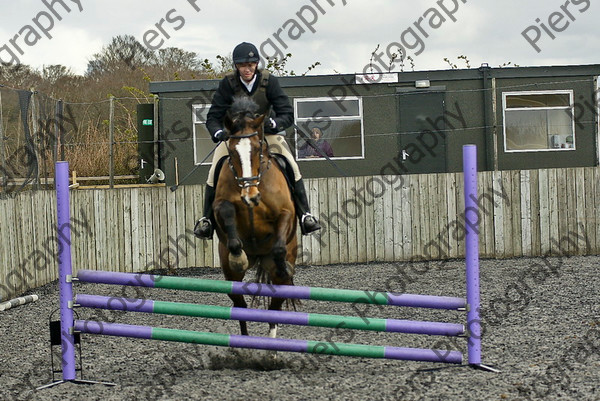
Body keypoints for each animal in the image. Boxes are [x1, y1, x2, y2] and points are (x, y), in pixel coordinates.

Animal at [213, 97, 298, 338]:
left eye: (258, 148)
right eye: (232, 152)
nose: (250, 196)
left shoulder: (286, 212)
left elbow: (279, 247)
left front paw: (282, 265)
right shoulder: (220, 207)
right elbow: (227, 215)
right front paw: (238, 257)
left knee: (275, 310)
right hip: (230, 278)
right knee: (239, 306)